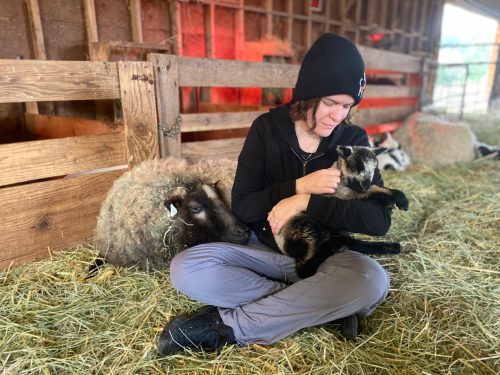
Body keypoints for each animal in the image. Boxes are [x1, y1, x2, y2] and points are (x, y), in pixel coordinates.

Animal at [274, 145, 410, 280]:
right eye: (353, 167)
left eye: (374, 169)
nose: (364, 185)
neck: (341, 177)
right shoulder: (349, 193)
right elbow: (373, 191)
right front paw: (401, 201)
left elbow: (376, 188)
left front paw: (400, 201)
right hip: (306, 228)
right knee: (304, 269)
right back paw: (334, 247)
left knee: (349, 241)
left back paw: (393, 247)